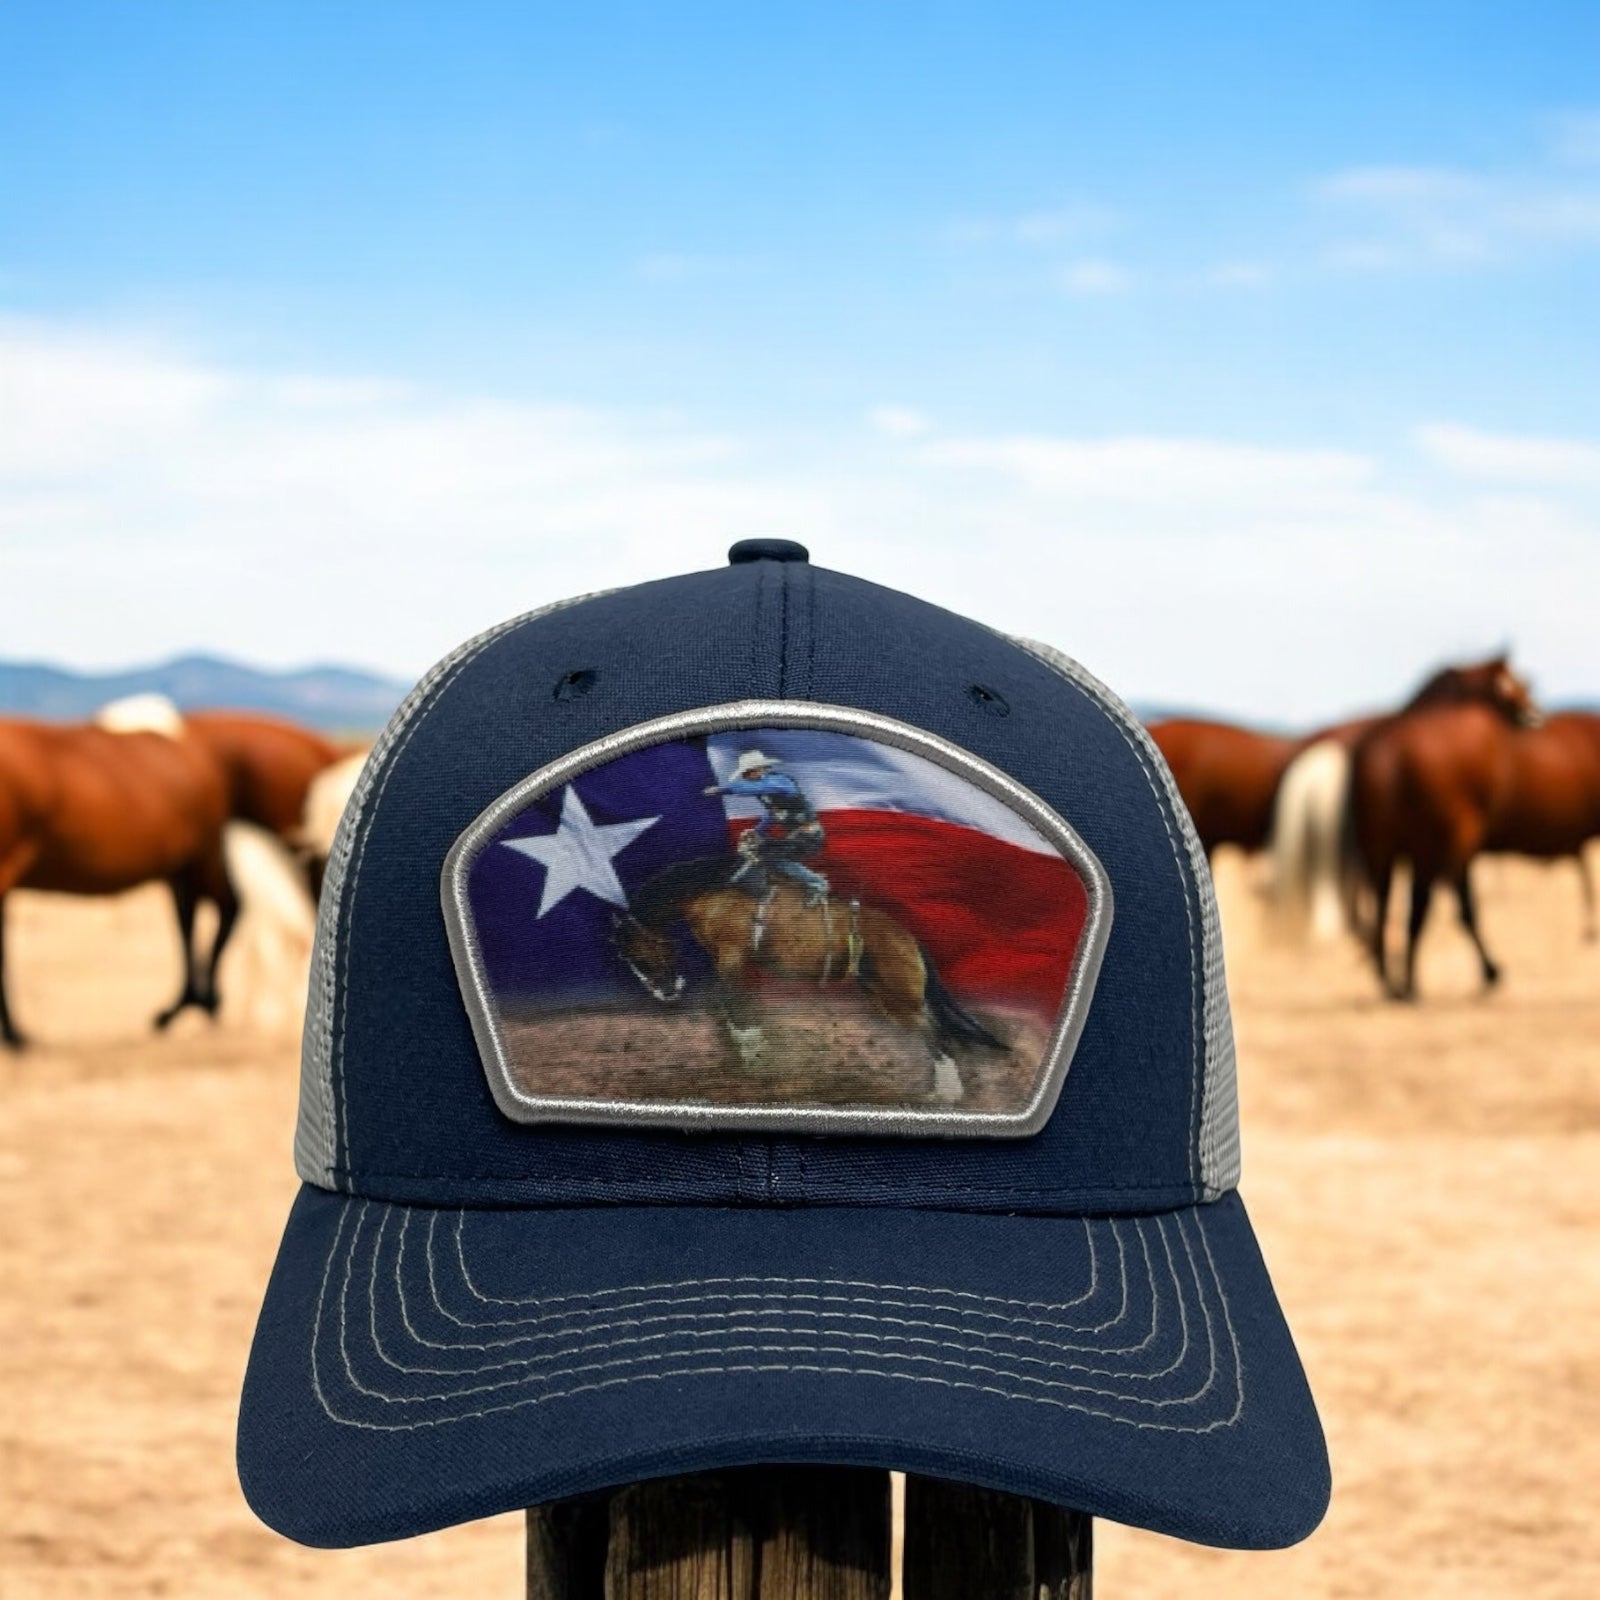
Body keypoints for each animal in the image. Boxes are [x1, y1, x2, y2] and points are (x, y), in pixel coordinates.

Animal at [0, 720, 240, 1043]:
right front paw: (14, 1034)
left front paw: (15, 1035)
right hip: (185, 863)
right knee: (192, 916)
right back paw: (186, 1004)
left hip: (199, 854)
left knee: (224, 907)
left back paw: (198, 1002)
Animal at [1344, 656, 1542, 992]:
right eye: (1506, 685)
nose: (1534, 715)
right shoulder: (1460, 837)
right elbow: (1463, 903)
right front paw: (1491, 971)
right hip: (1423, 846)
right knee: (1418, 905)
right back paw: (1408, 983)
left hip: (1380, 848)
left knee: (1385, 903)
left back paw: (1389, 979)